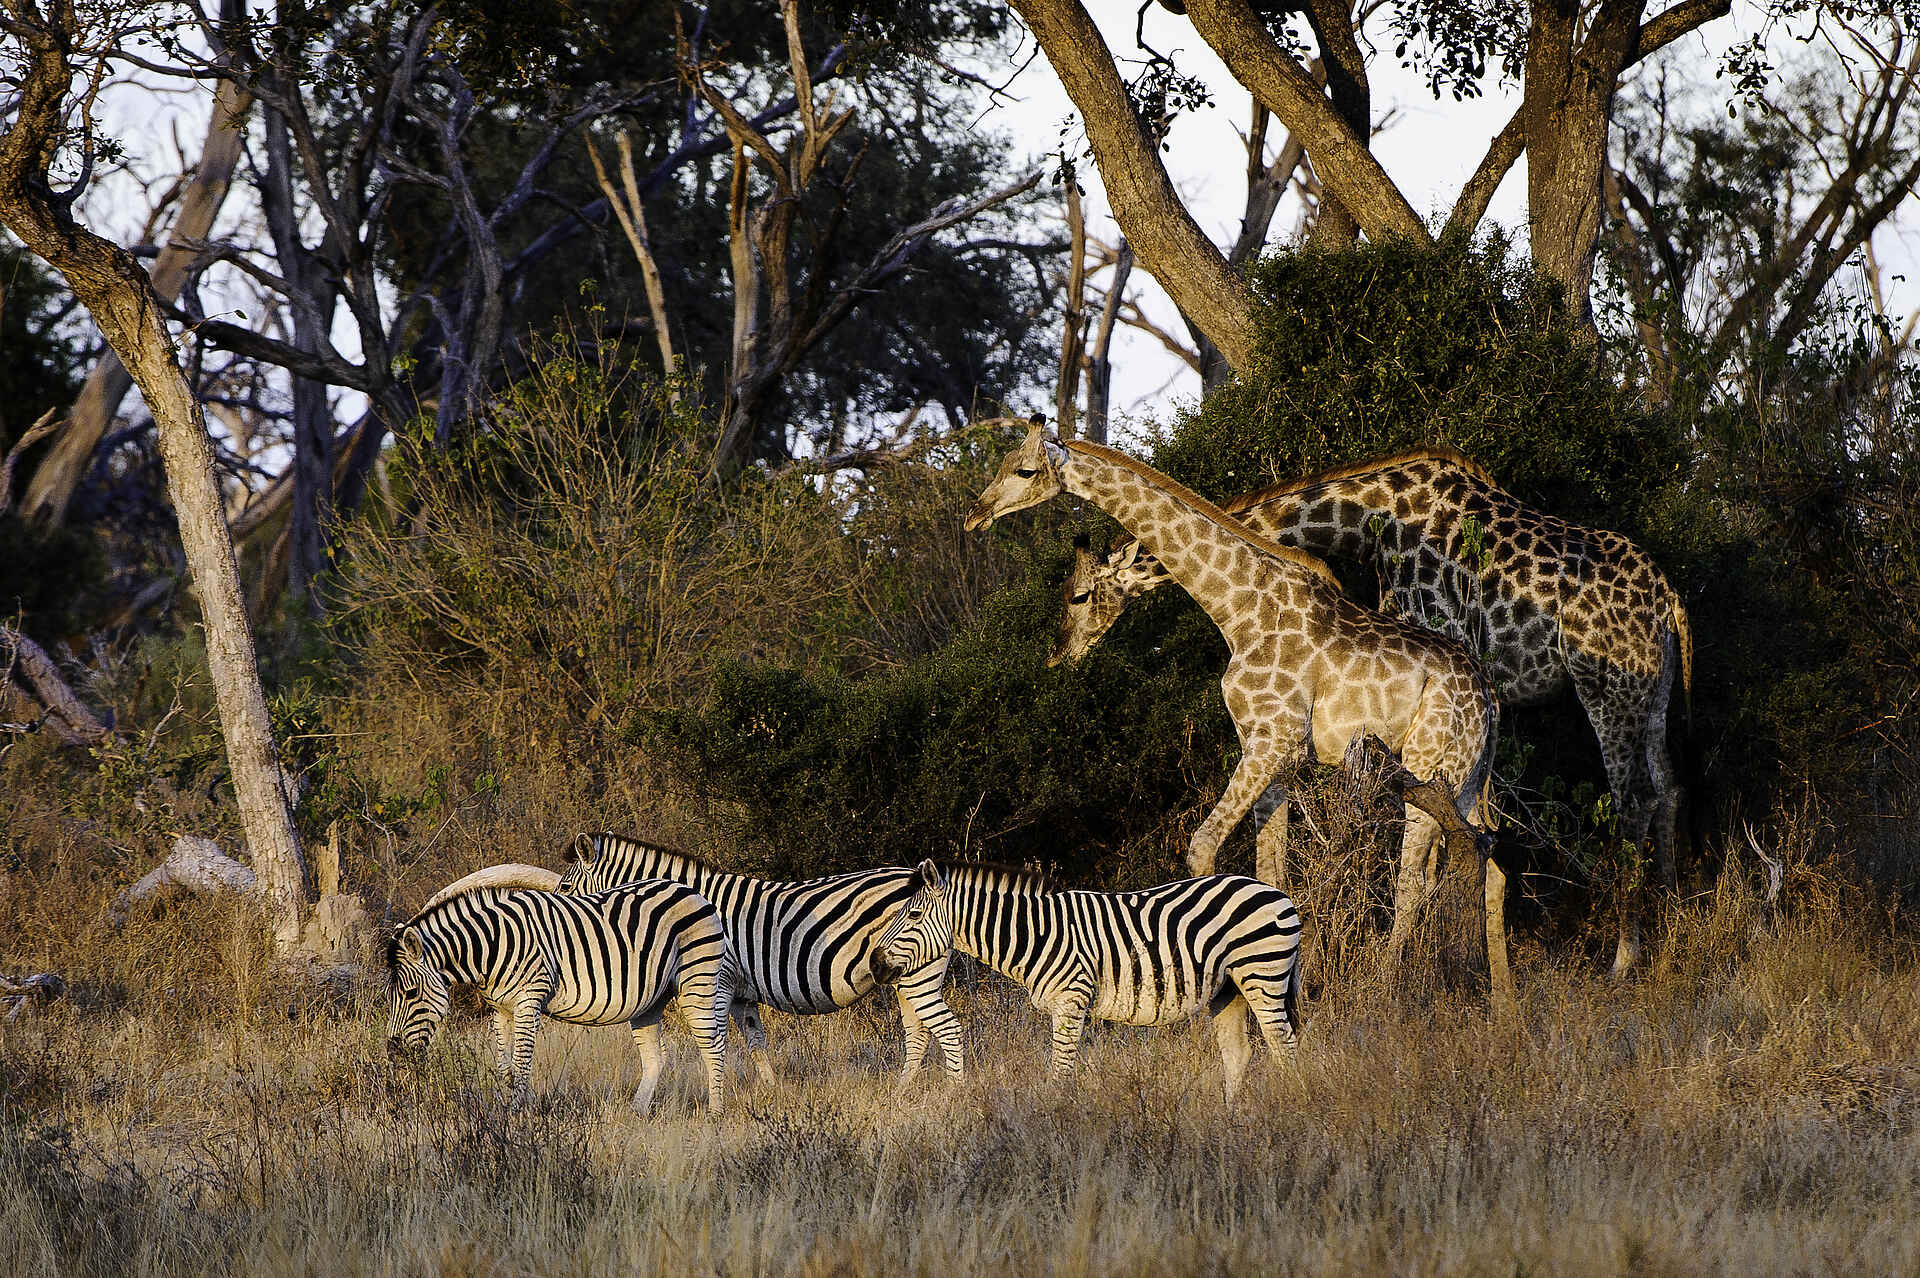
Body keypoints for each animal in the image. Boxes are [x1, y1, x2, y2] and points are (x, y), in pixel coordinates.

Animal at [386, 880, 733, 1113]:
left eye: (411, 993)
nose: (393, 1052)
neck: (492, 945)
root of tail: (689, 889)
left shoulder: (529, 1000)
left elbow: (522, 1061)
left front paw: (517, 1114)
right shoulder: (500, 1009)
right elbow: (503, 1064)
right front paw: (502, 1109)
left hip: (697, 980)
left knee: (713, 1045)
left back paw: (715, 1111)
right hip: (651, 1001)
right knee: (655, 1056)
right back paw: (636, 1111)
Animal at [558, 833, 964, 1083]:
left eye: (565, 886)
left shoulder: (718, 980)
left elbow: (718, 1038)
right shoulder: (742, 992)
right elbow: (755, 1042)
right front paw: (771, 1093)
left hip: (917, 974)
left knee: (946, 1029)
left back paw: (950, 1095)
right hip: (902, 976)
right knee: (919, 1033)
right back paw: (902, 1090)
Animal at [869, 862, 1303, 1099]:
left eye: (912, 916)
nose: (874, 965)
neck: (1035, 934)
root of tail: (1275, 891)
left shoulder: (1071, 999)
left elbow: (1061, 1070)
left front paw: (1055, 1119)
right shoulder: (1070, 1007)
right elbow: (1072, 1065)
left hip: (1262, 973)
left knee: (1284, 1048)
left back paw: (1286, 1109)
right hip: (1227, 989)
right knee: (1239, 1054)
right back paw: (1231, 1121)